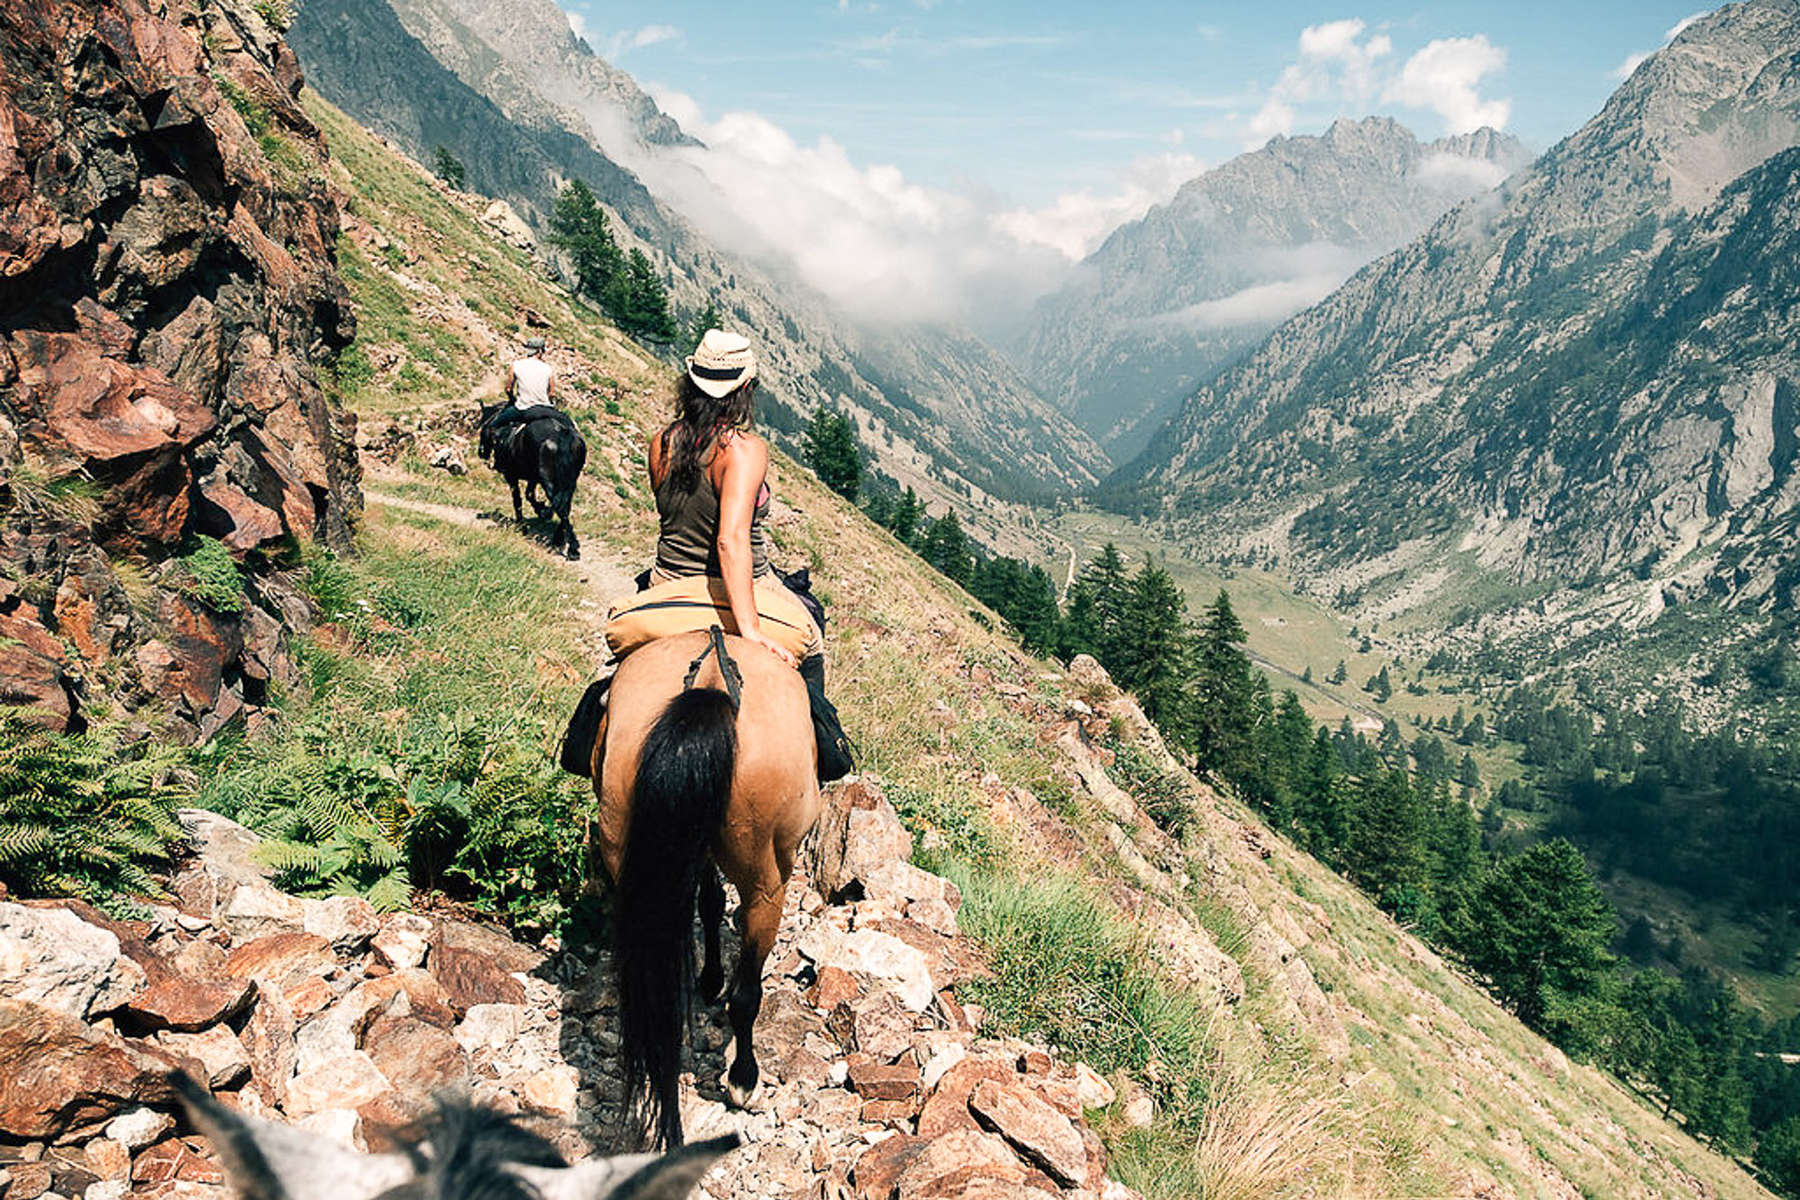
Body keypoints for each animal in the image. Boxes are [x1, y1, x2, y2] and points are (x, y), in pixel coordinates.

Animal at [590, 626, 824, 1151]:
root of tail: (712, 679)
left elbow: (711, 900)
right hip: (767, 882)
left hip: (626, 838)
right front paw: (717, 981)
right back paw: (743, 1080)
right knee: (748, 993)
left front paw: (710, 977)